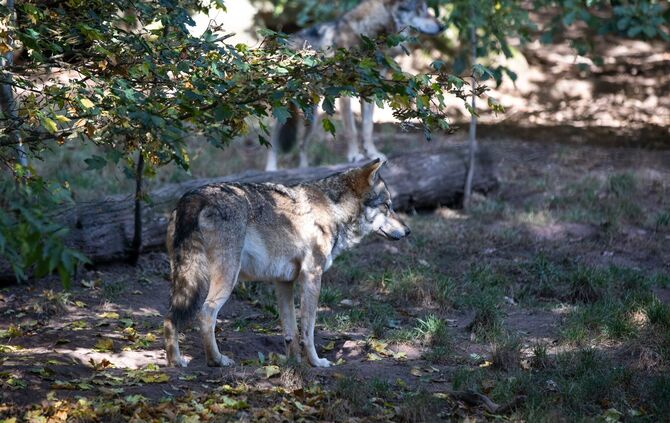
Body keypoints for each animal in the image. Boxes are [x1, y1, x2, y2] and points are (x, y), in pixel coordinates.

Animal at [163, 159, 410, 368]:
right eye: (387, 206)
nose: (408, 231)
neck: (334, 210)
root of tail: (194, 197)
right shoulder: (312, 277)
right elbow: (308, 330)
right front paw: (316, 363)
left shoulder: (283, 282)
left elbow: (291, 331)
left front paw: (294, 364)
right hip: (225, 280)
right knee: (206, 314)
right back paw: (217, 360)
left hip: (183, 281)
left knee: (169, 318)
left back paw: (175, 361)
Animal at [265, 0, 444, 171]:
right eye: (420, 8)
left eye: (425, 7)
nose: (442, 26)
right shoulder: (345, 92)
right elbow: (351, 130)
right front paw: (355, 156)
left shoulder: (370, 91)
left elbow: (367, 128)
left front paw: (373, 153)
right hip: (280, 113)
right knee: (272, 142)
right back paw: (271, 169)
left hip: (312, 118)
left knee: (302, 145)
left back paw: (304, 168)